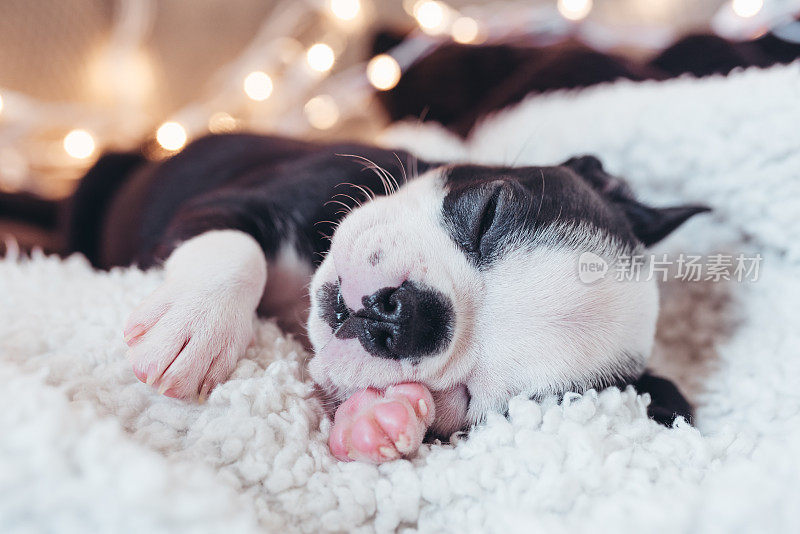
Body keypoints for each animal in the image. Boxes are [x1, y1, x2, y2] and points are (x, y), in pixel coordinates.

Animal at [70, 134, 708, 464]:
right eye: (488, 213)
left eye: (472, 399)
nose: (408, 315)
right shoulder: (222, 203)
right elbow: (236, 246)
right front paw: (194, 326)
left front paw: (381, 419)